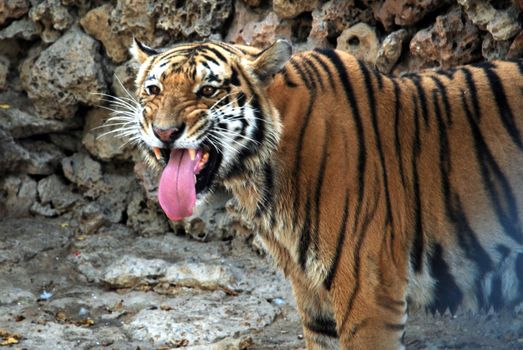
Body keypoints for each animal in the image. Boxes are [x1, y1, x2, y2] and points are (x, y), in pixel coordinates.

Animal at [124, 38, 523, 350]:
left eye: (207, 91)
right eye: (154, 90)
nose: (164, 132)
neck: (261, 176)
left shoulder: (369, 289)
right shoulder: (312, 290)